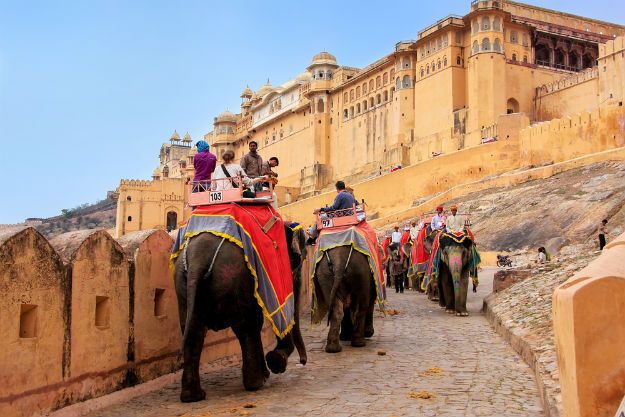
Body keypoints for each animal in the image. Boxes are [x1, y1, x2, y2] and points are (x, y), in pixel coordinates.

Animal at [174, 224, 306, 404]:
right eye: (298, 261)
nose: (303, 361)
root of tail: (197, 260)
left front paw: (271, 367)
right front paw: (276, 362)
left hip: (183, 283)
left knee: (194, 331)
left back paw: (193, 396)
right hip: (237, 278)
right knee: (247, 328)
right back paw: (255, 383)